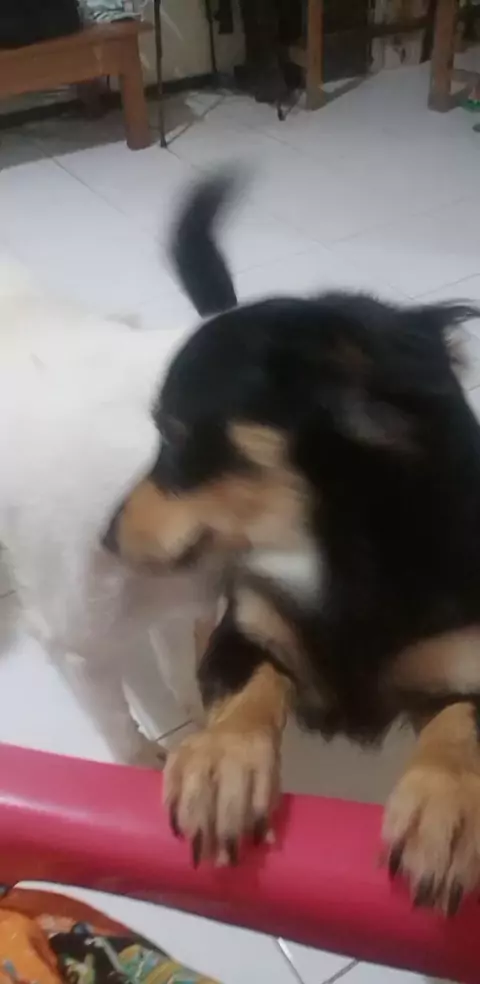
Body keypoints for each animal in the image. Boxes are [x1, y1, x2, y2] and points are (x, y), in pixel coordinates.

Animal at [0, 259, 222, 767]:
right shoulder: (75, 650)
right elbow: (120, 728)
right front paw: (144, 764)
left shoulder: (171, 610)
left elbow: (178, 679)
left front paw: (193, 732)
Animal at [106, 172, 480, 914]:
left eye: (175, 434)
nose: (104, 536)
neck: (336, 554)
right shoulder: (243, 635)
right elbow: (251, 686)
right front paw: (220, 764)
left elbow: (460, 724)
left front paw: (445, 808)